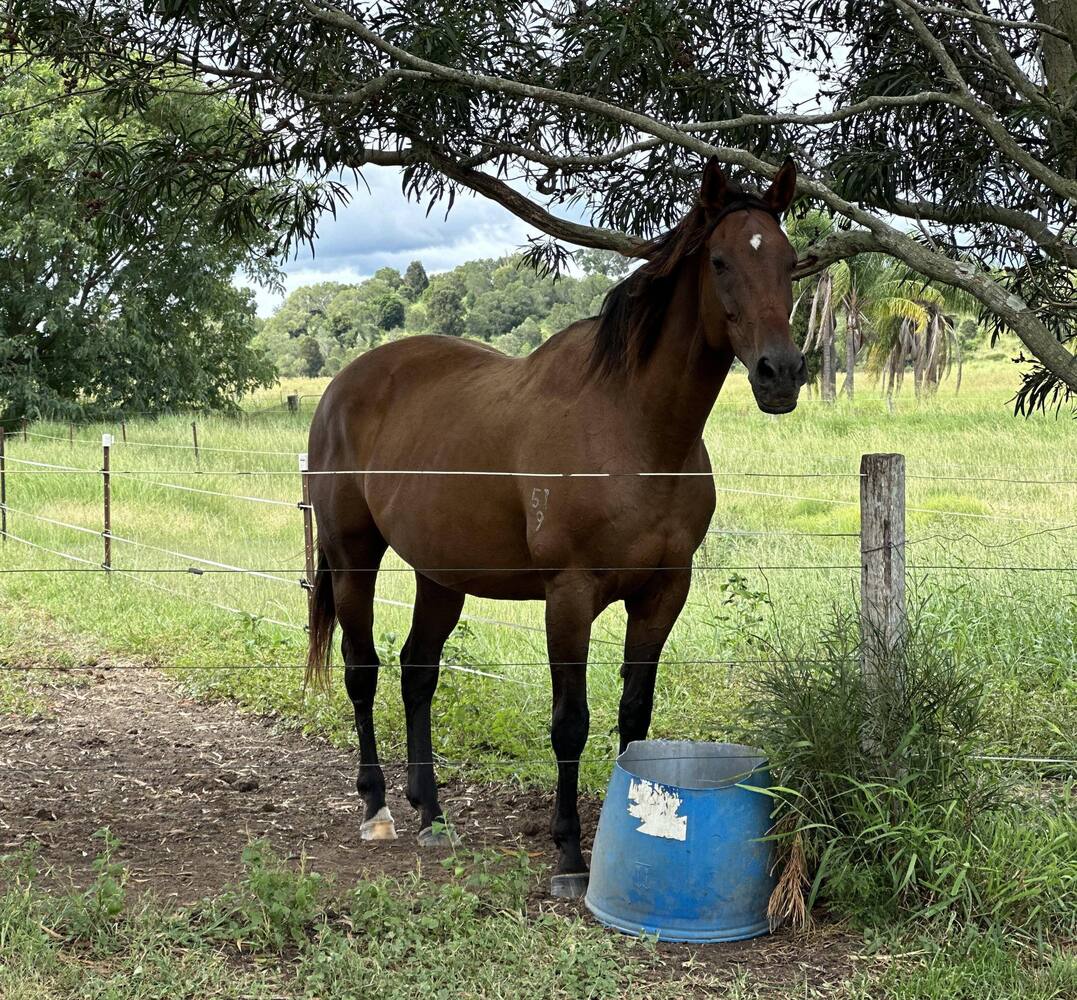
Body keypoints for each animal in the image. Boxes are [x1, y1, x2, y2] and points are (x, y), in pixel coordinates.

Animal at [305, 156, 806, 897]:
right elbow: (570, 723)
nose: (780, 374)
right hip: (352, 554)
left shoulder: (663, 592)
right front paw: (569, 853)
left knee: (417, 671)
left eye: (789, 261)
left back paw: (433, 813)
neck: (633, 429)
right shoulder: (569, 596)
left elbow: (635, 715)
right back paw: (377, 808)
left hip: (440, 574)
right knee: (362, 669)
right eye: (720, 261)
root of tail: (343, 384)